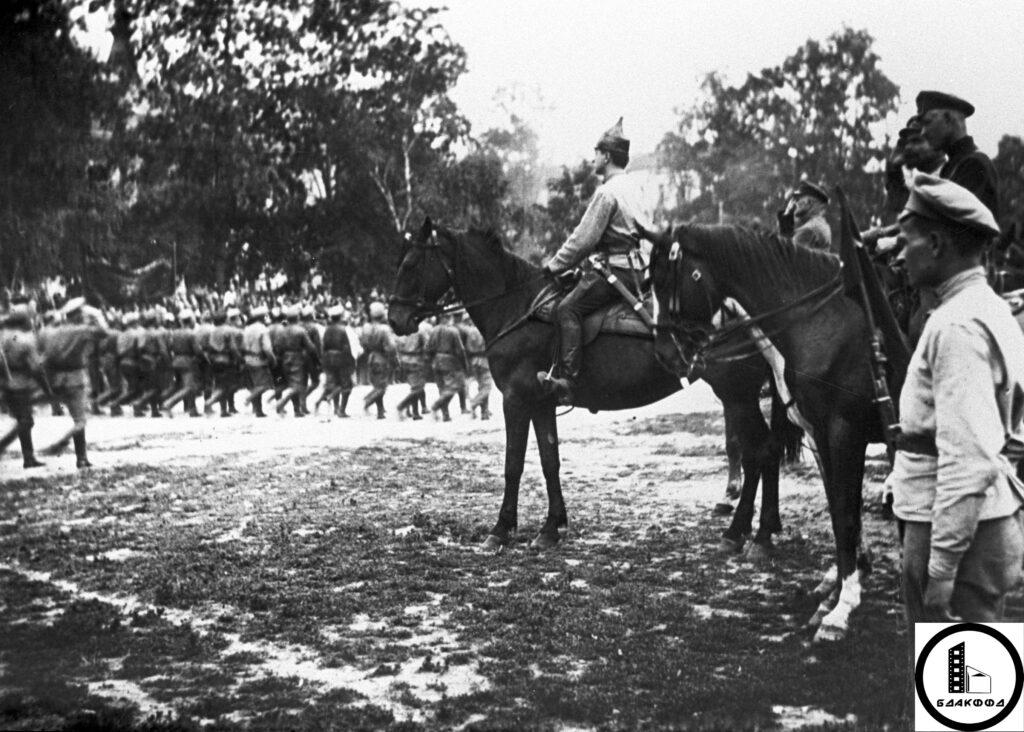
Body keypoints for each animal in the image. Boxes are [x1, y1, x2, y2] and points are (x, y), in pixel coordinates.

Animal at [387, 218, 794, 556]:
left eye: (410, 265)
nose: (394, 318)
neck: (517, 306)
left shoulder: (516, 401)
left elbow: (513, 464)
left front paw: (501, 530)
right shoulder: (541, 403)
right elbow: (549, 460)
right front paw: (551, 527)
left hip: (736, 393)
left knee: (759, 452)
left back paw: (745, 534)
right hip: (740, 395)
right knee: (765, 451)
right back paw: (761, 530)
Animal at [651, 225, 884, 642]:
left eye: (666, 281)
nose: (664, 353)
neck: (824, 320)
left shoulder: (844, 430)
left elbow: (844, 511)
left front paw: (841, 607)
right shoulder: (820, 433)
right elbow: (841, 507)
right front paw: (839, 586)